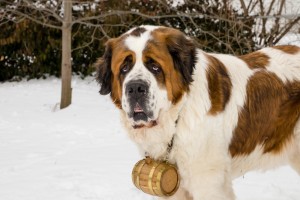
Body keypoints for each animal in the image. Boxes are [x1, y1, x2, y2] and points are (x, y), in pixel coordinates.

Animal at [95, 25, 300, 199]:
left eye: (155, 66)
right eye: (124, 68)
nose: (135, 88)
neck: (178, 116)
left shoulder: (208, 183)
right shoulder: (175, 188)